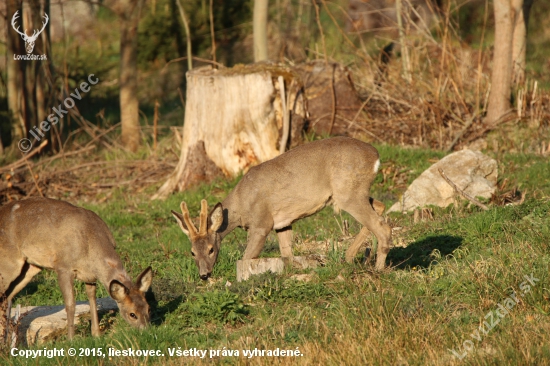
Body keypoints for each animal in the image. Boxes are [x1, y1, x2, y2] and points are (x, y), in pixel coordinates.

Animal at [0, 197, 153, 340]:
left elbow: (92, 299)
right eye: (132, 314)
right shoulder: (63, 267)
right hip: (9, 262)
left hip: (30, 267)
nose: (146, 332)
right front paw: (71, 340)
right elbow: (70, 304)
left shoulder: (90, 275)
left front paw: (96, 334)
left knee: (8, 297)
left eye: (148, 308)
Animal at [172, 137, 392, 280]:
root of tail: (376, 156)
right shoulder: (283, 224)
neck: (240, 206)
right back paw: (349, 257)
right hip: (356, 191)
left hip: (347, 192)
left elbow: (246, 258)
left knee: (382, 226)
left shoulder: (261, 223)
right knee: (380, 206)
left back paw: (378, 269)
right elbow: (287, 254)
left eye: (211, 249)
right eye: (192, 252)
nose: (204, 274)